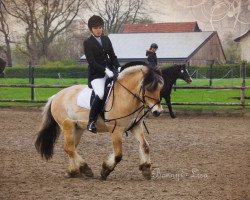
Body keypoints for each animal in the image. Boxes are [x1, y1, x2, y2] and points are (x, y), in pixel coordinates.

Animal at [35, 61, 164, 180]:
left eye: (160, 87)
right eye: (148, 88)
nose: (158, 111)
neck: (125, 96)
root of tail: (56, 96)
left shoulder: (136, 126)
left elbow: (145, 146)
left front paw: (146, 169)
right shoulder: (116, 129)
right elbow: (118, 155)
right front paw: (105, 170)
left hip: (77, 128)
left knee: (71, 147)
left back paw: (73, 172)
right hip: (67, 125)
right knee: (69, 148)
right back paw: (85, 169)